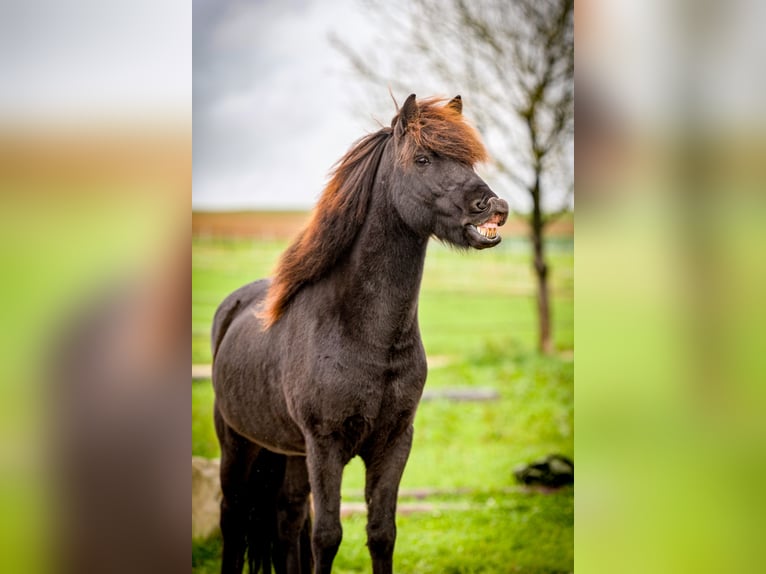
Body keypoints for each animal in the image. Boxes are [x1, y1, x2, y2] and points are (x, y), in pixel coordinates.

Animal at [211, 94, 509, 574]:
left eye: (468, 159)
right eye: (422, 159)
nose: (494, 206)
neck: (364, 335)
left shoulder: (394, 442)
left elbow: (382, 533)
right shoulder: (326, 445)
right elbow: (327, 536)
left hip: (290, 453)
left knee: (288, 518)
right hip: (238, 443)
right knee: (234, 517)